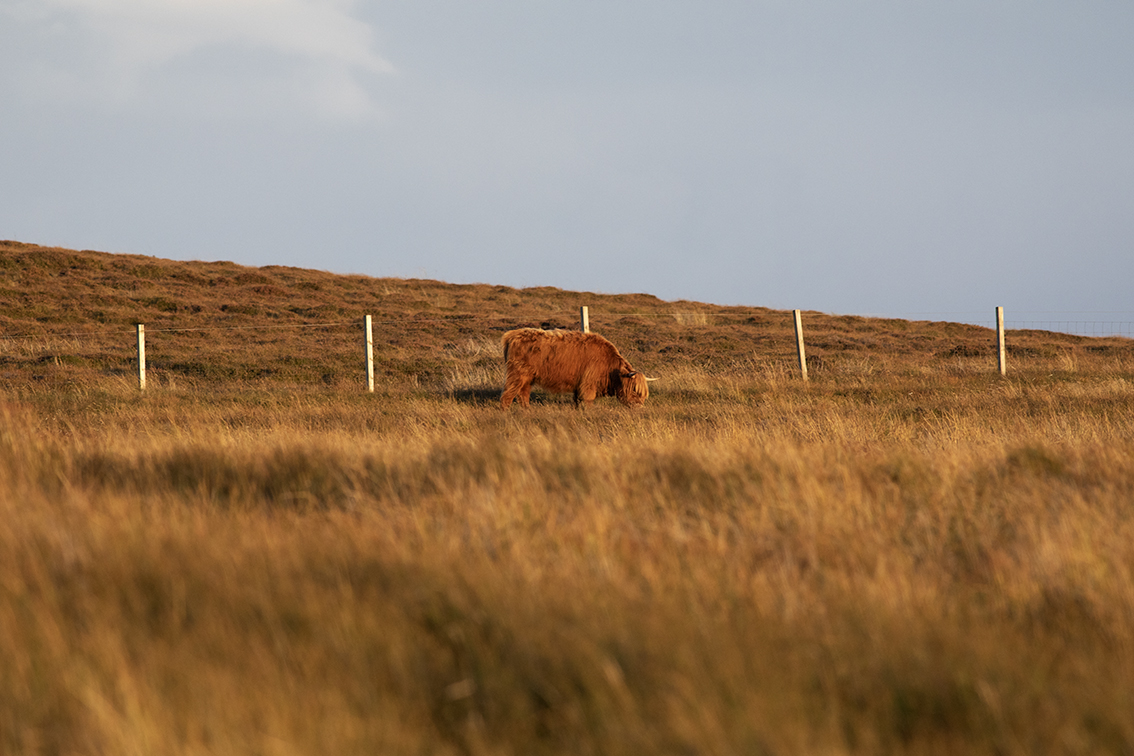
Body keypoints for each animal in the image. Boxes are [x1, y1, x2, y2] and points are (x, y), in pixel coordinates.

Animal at [498, 326, 657, 408]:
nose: (639, 407)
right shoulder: (589, 383)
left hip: (528, 378)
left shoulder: (579, 385)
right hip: (517, 374)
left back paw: (527, 412)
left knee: (523, 394)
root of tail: (513, 334)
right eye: (635, 390)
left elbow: (577, 401)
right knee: (508, 395)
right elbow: (588, 400)